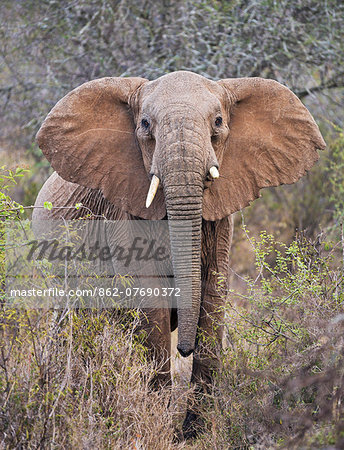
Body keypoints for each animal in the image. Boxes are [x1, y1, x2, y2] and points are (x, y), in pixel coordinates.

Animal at [32, 71, 326, 436]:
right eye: (145, 124)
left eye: (218, 122)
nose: (185, 349)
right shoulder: (121, 211)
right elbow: (150, 300)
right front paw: (159, 421)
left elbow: (213, 297)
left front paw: (195, 431)